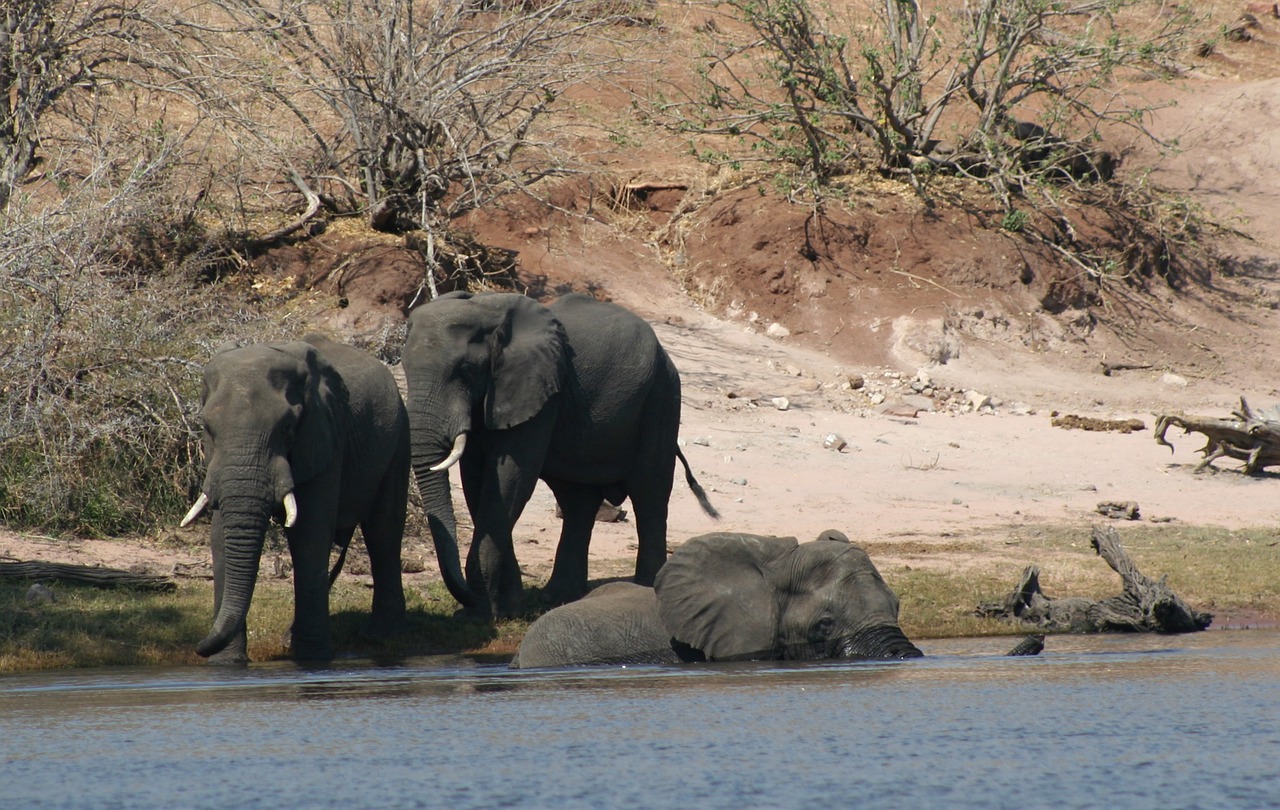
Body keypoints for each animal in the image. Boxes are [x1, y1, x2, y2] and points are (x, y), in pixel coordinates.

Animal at [180, 332, 407, 660]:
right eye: (208, 429)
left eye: (287, 428)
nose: (198, 647)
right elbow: (221, 536)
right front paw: (226, 663)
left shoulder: (326, 434)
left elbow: (309, 533)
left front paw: (312, 659)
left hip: (399, 437)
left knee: (383, 533)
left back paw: (380, 637)